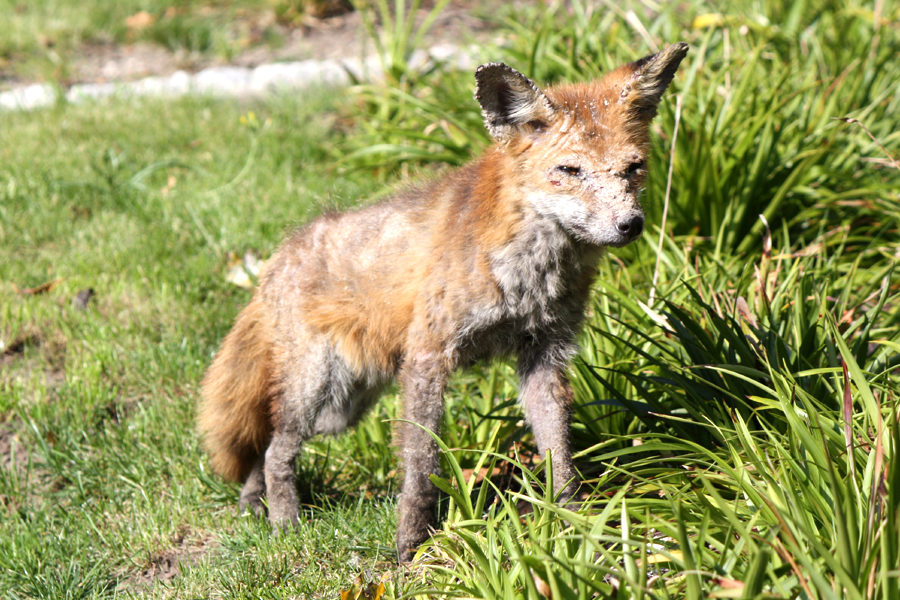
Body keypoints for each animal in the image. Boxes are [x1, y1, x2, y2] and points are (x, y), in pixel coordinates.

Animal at [199, 43, 688, 564]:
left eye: (633, 168)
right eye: (569, 171)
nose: (630, 224)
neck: (529, 275)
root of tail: (279, 256)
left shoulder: (544, 353)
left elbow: (559, 450)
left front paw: (572, 525)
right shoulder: (429, 356)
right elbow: (421, 463)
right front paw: (411, 547)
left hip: (342, 406)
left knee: (263, 442)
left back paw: (254, 507)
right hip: (319, 390)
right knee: (276, 451)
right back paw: (285, 526)